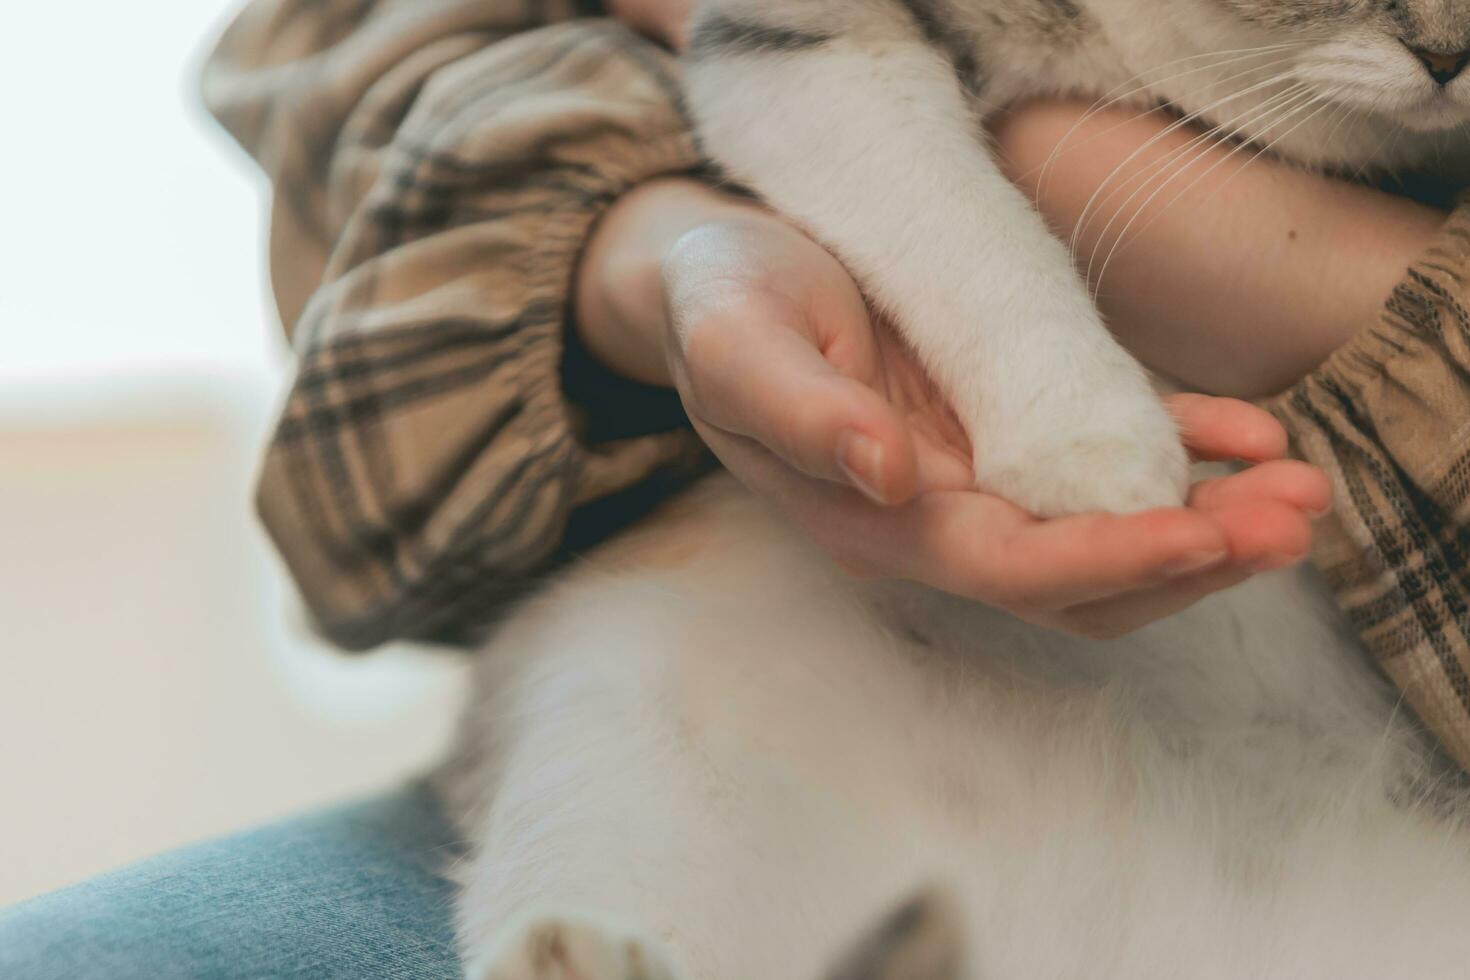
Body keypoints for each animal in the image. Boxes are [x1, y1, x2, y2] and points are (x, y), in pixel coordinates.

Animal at [441, 1, 1470, 980]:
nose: (1450, 55)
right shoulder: (799, 42)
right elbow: (964, 225)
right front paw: (1089, 437)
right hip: (621, 718)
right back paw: (578, 953)